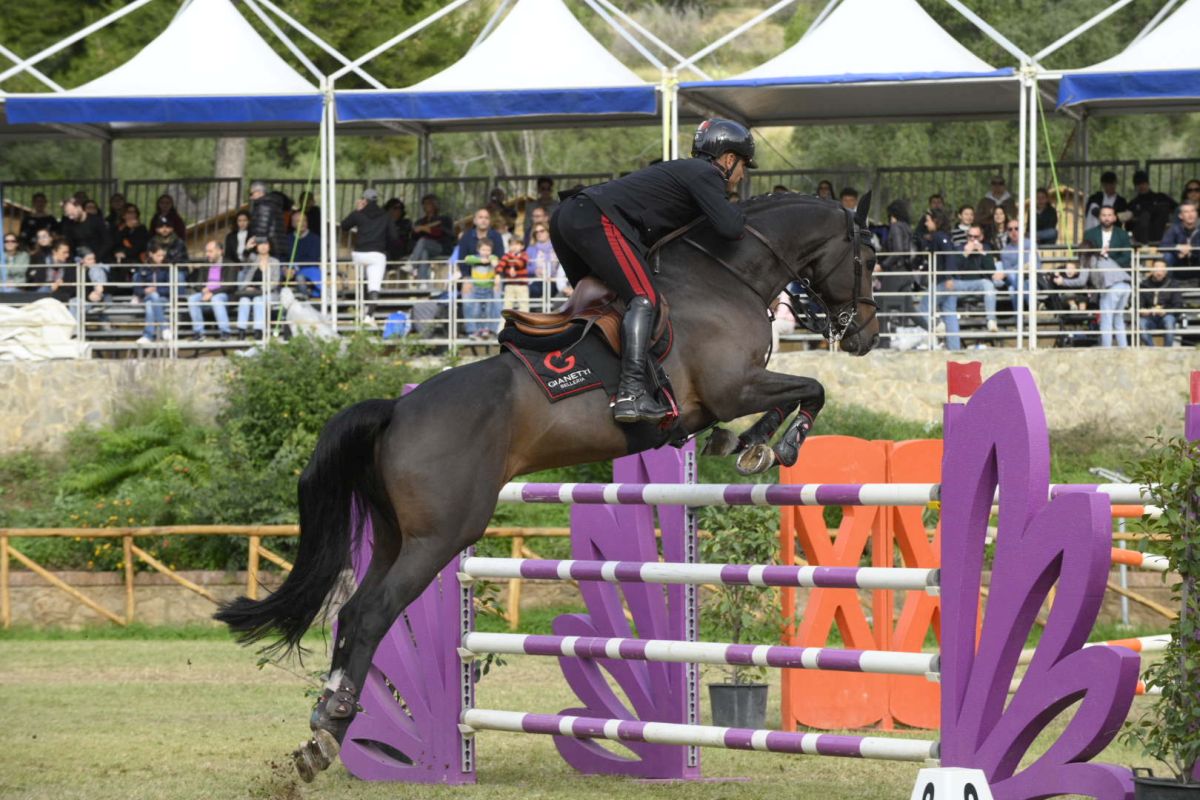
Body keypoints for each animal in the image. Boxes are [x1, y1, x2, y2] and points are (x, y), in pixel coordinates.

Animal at [213, 190, 883, 777]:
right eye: (870, 258)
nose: (865, 336)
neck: (725, 275)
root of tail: (397, 409)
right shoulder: (731, 387)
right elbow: (810, 389)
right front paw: (771, 446)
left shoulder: (730, 394)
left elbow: (795, 395)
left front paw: (748, 445)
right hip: (441, 536)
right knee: (375, 612)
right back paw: (332, 727)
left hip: (394, 537)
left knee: (353, 613)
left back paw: (324, 727)